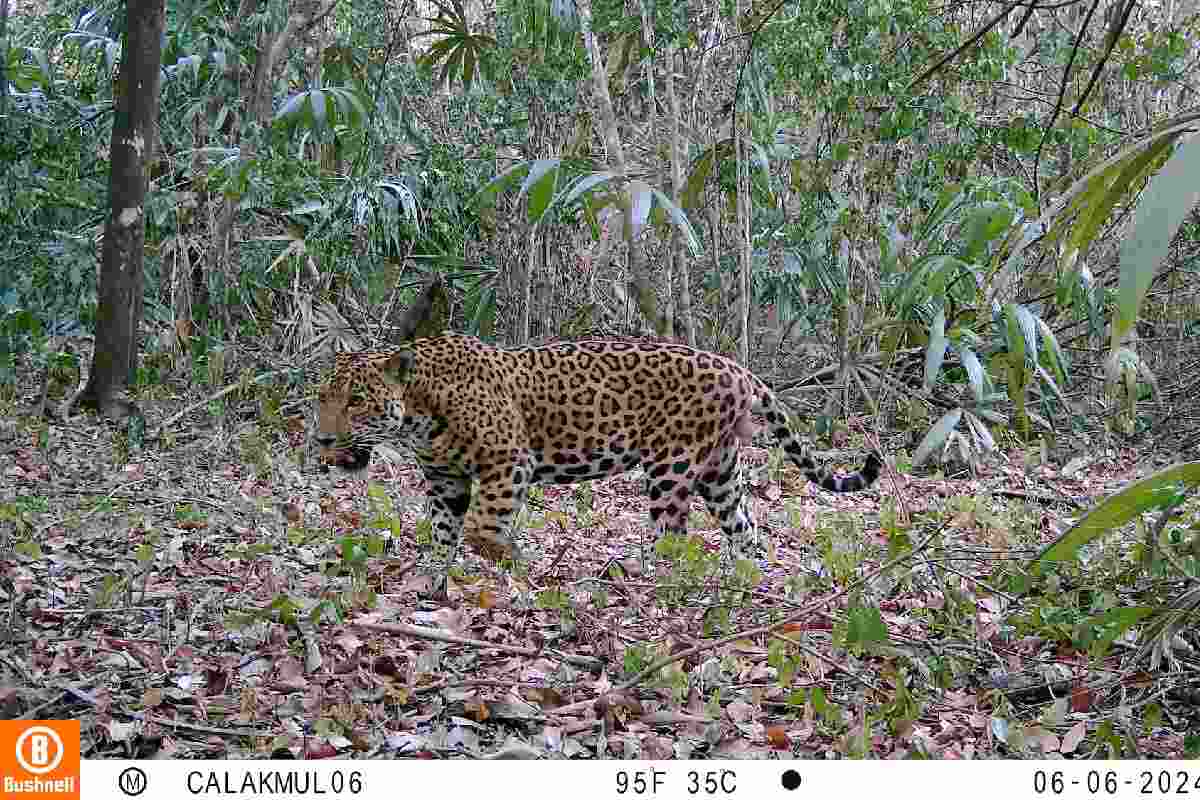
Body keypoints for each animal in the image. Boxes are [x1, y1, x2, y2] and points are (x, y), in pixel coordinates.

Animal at [315, 332, 882, 582]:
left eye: (357, 401)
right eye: (323, 398)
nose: (320, 440)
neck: (419, 410)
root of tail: (738, 369)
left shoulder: (507, 462)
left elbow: (480, 527)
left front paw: (514, 558)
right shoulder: (445, 479)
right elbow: (442, 531)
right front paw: (433, 576)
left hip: (672, 464)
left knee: (673, 534)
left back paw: (644, 578)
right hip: (719, 471)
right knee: (745, 528)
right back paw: (747, 576)